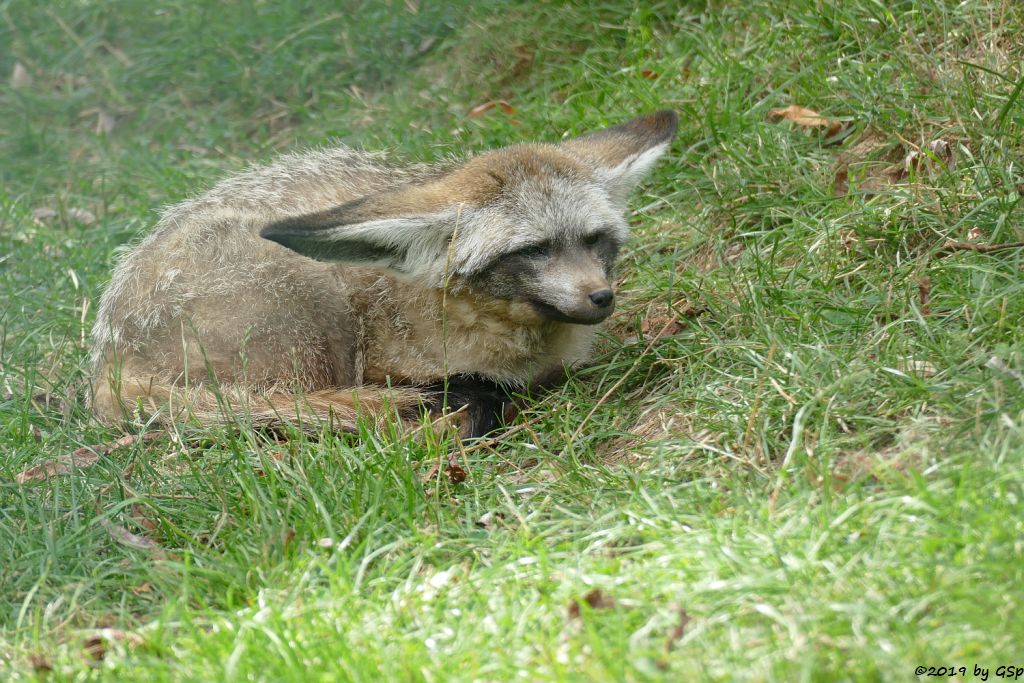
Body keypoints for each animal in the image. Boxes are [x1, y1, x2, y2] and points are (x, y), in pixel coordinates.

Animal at [90, 107, 679, 438]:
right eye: (533, 250)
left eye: (595, 241)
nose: (601, 297)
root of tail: (107, 360)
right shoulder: (386, 364)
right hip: (313, 311)